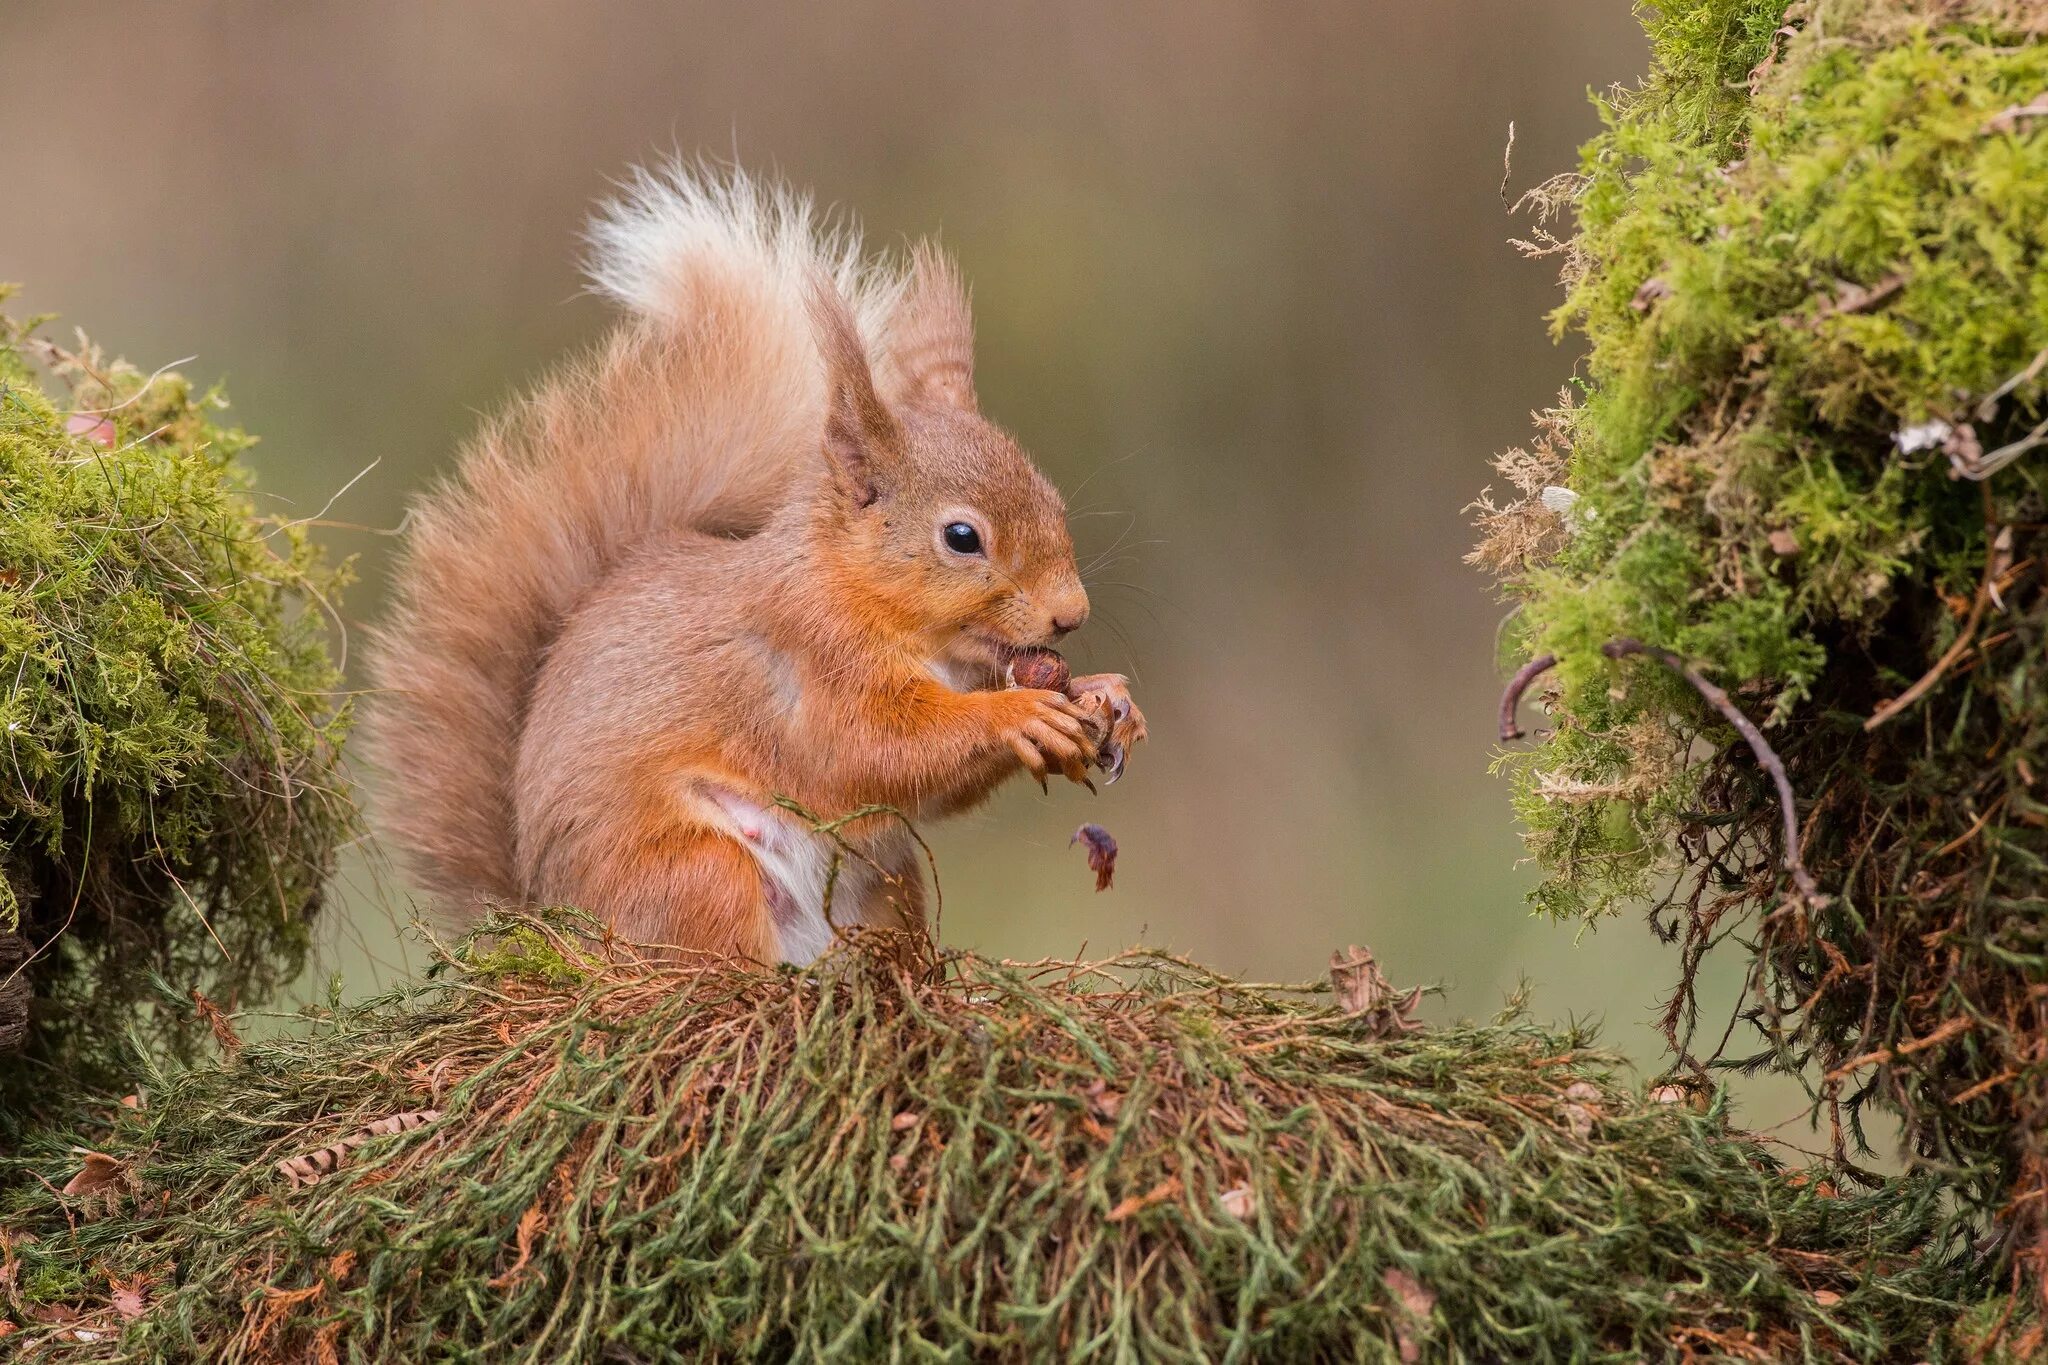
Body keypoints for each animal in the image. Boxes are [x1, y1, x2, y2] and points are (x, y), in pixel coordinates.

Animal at [366, 167, 1138, 961]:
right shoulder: (811, 659)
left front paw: (1107, 696)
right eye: (961, 537)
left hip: (883, 889)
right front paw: (1019, 713)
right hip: (698, 874)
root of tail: (555, 924)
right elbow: (876, 751)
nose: (1071, 613)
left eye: (1051, 496)